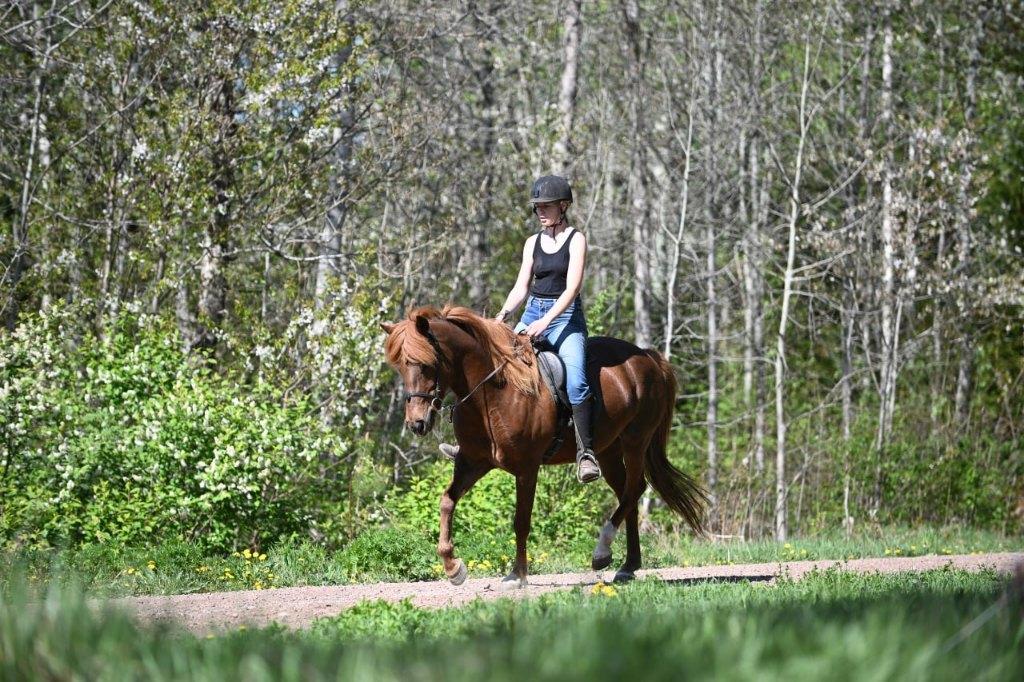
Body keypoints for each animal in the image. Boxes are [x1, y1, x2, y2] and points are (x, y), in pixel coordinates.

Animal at [380, 304, 707, 587]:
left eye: (426, 365)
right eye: (400, 368)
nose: (417, 424)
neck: (491, 393)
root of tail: (648, 357)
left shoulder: (527, 468)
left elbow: (521, 521)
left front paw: (517, 576)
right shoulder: (473, 463)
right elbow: (447, 501)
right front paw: (453, 568)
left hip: (635, 440)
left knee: (633, 490)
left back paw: (602, 553)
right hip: (608, 450)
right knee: (628, 492)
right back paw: (628, 566)